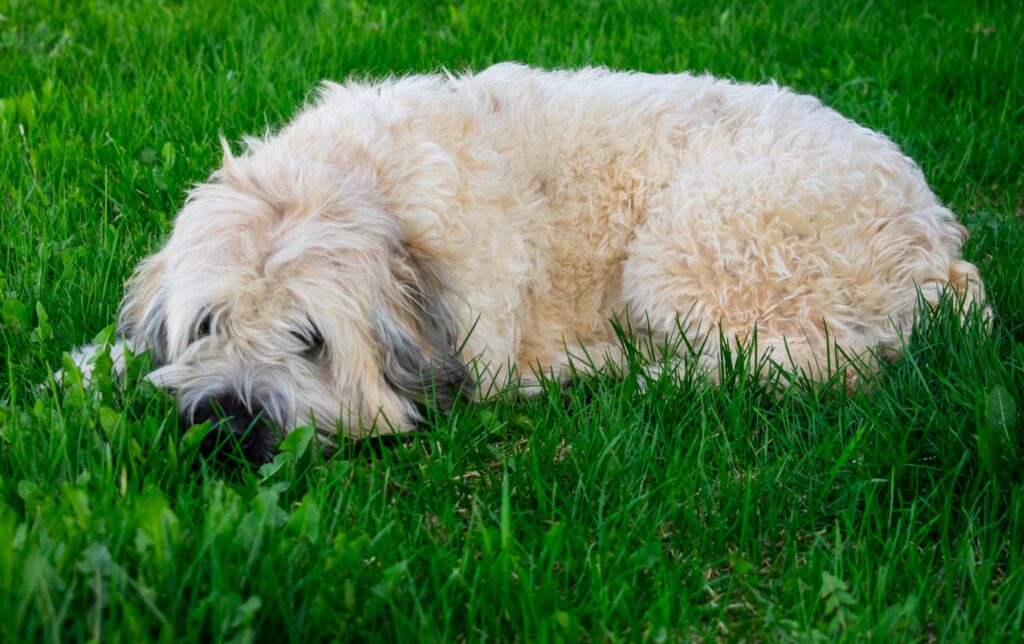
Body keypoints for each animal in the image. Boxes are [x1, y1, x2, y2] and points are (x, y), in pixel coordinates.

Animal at [66, 62, 983, 458]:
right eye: (206, 325)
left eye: (310, 341)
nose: (225, 418)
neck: (368, 192)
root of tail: (940, 238)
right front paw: (87, 371)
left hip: (695, 241)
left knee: (800, 362)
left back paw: (610, 368)